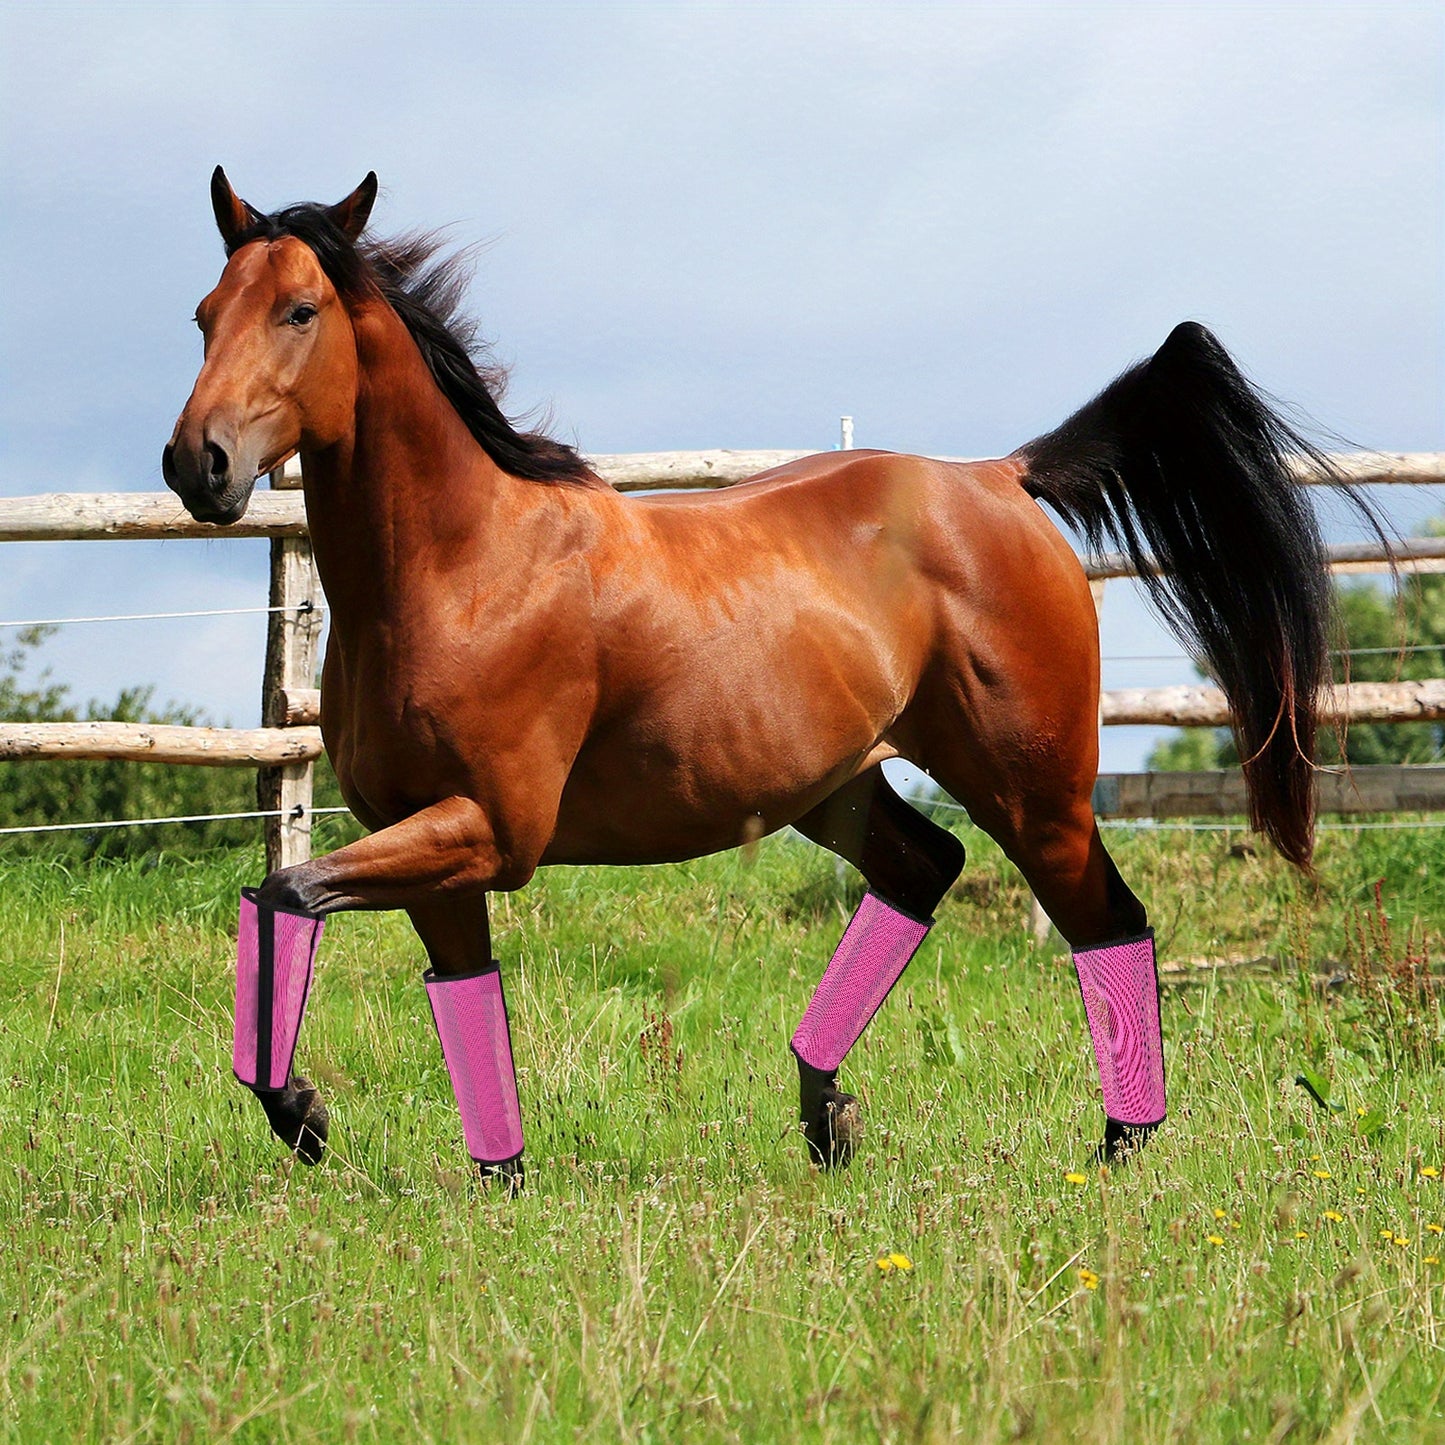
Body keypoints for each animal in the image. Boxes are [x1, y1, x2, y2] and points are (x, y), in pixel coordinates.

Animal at [164, 170, 1358, 1188]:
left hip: (1033, 789)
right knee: (923, 866)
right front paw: (495, 1180)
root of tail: (1004, 477)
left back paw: (1115, 1148)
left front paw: (305, 1115)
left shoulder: (492, 830)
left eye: (300, 311)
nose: (198, 464)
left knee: (1105, 919)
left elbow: (282, 889)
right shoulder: (438, 851)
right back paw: (829, 1116)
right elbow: (450, 989)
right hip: (834, 785)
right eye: (204, 312)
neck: (463, 568)